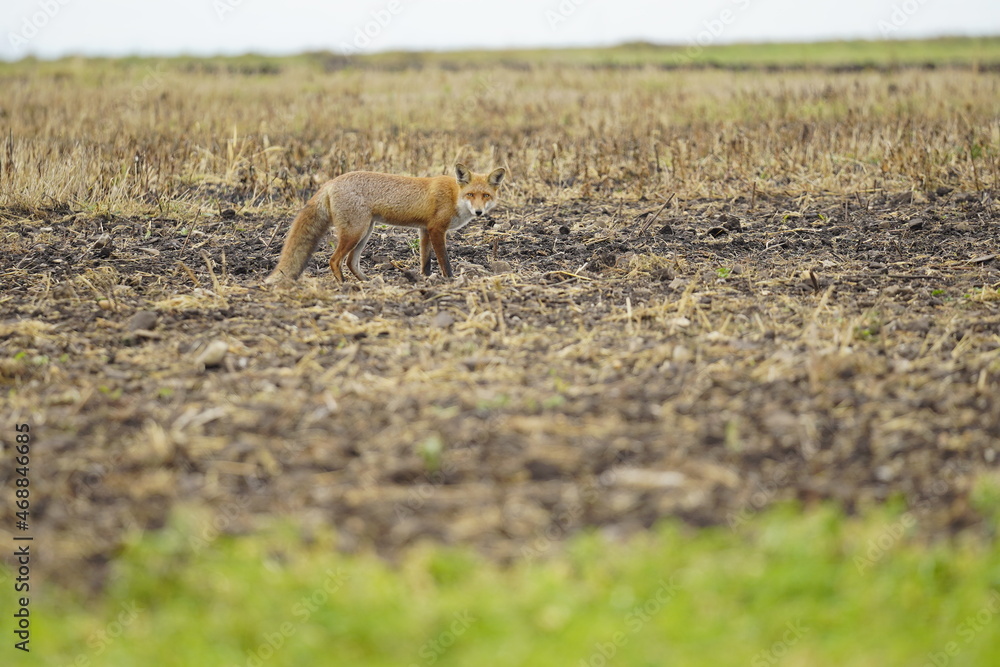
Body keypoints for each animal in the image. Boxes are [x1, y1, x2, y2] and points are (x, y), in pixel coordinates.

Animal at [264, 163, 506, 284]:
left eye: (485, 195)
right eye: (471, 194)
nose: (478, 212)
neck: (454, 196)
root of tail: (331, 182)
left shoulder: (424, 230)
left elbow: (425, 261)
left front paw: (425, 279)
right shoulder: (437, 229)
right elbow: (444, 261)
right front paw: (451, 280)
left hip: (365, 232)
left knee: (351, 262)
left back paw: (366, 281)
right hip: (355, 232)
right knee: (334, 260)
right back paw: (344, 285)